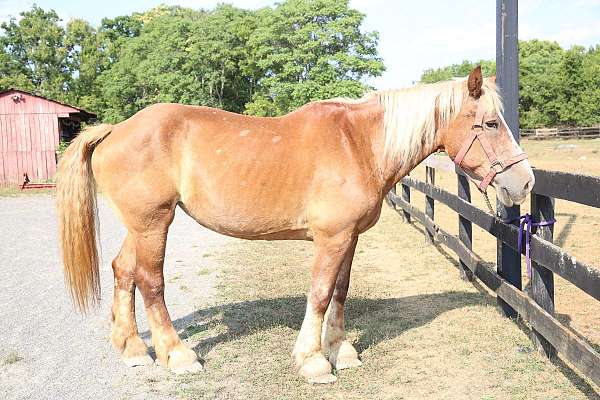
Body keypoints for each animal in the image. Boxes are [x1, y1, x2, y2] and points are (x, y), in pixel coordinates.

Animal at [56, 67, 536, 382]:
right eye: (491, 123)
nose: (526, 181)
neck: (359, 144)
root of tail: (115, 130)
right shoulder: (330, 238)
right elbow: (320, 294)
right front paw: (313, 361)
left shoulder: (349, 238)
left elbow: (340, 292)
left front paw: (341, 351)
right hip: (154, 223)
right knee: (149, 281)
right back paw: (177, 355)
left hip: (139, 226)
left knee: (123, 272)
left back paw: (133, 349)